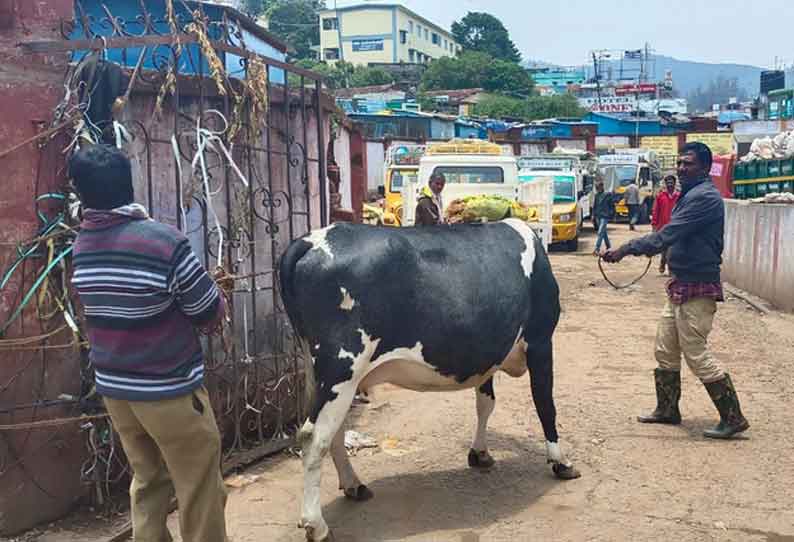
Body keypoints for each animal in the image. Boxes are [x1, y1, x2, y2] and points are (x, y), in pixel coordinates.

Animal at [282, 219, 580, 540]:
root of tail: (310, 240)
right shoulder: (541, 341)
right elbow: (546, 404)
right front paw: (561, 461)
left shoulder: (486, 357)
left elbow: (485, 405)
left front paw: (480, 453)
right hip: (342, 367)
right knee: (314, 437)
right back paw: (317, 525)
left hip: (323, 375)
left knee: (332, 431)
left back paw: (354, 485)